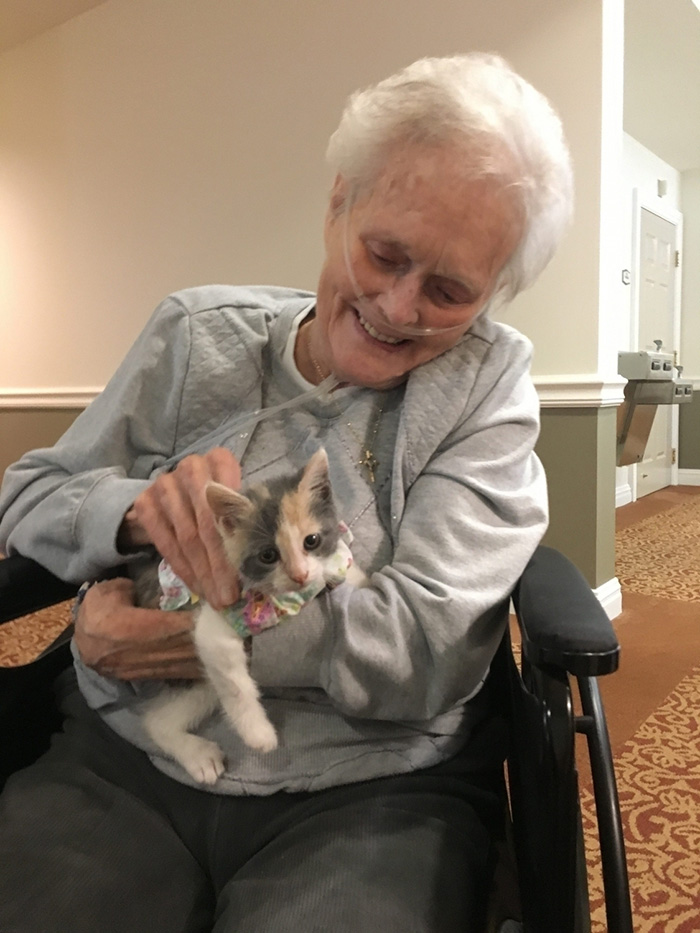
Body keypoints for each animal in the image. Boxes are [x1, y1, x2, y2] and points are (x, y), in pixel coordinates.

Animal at [136, 448, 360, 784]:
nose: (299, 575)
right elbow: (233, 681)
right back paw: (198, 755)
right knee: (156, 719)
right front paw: (259, 734)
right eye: (268, 555)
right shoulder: (215, 617)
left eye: (312, 541)